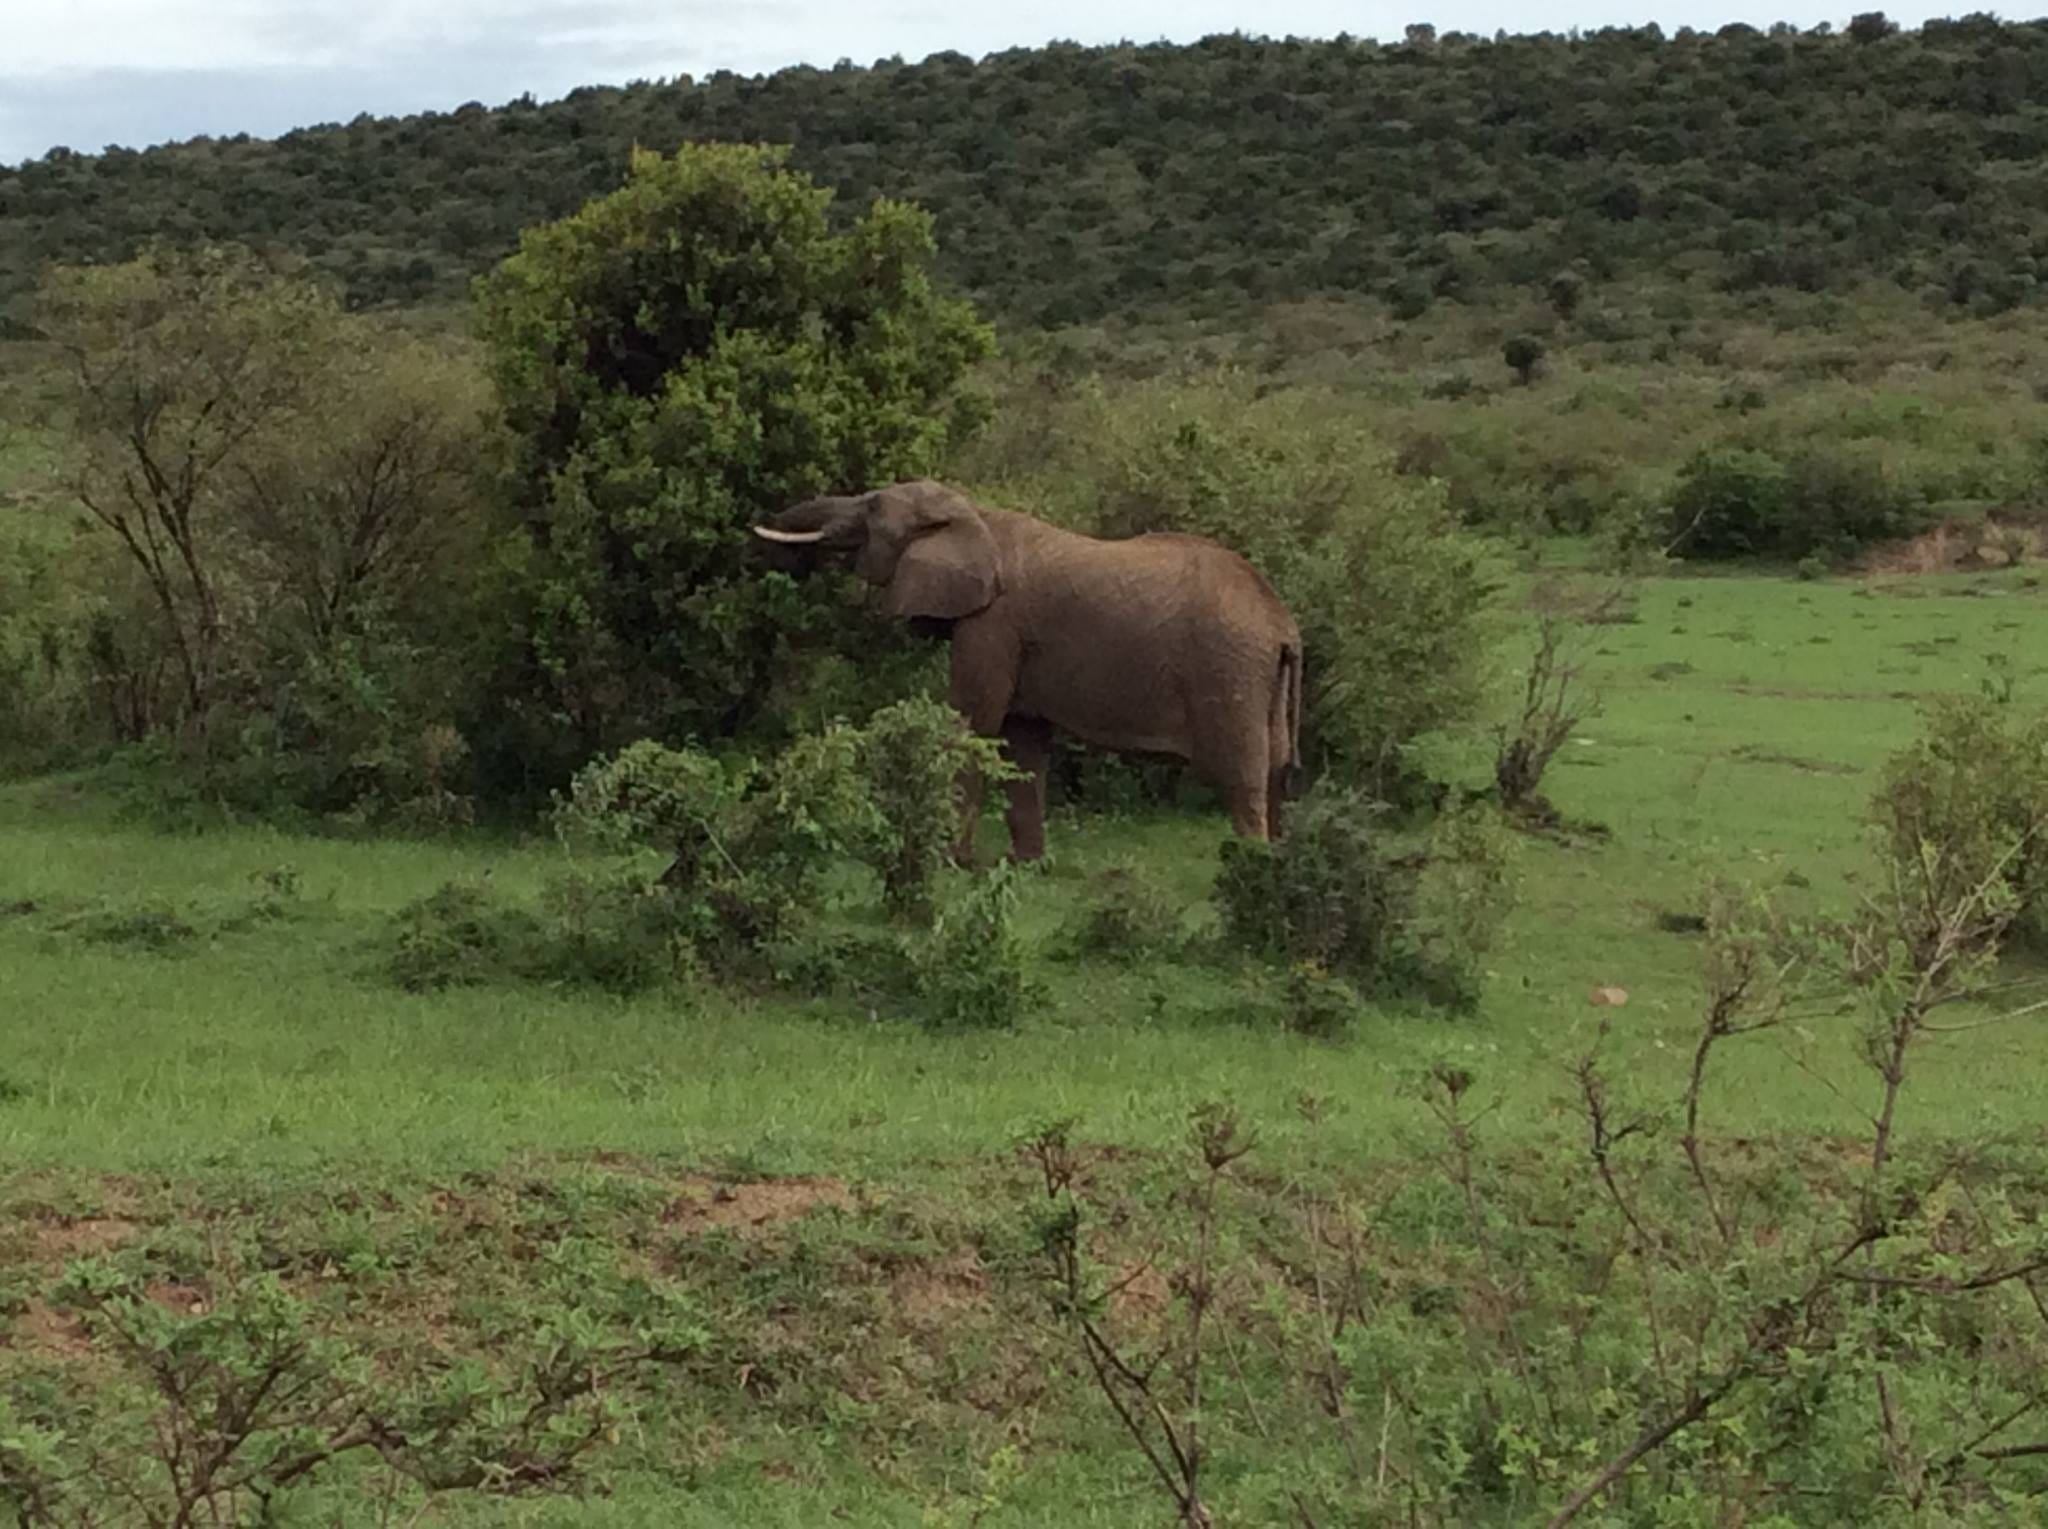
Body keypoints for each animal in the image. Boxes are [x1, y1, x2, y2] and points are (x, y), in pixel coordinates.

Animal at [752, 479, 1302, 863]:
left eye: (870, 507)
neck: (974, 515)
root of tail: (1283, 624)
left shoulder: (994, 624)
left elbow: (976, 724)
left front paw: (949, 862)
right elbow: (1022, 742)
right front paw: (1025, 866)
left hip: (1228, 668)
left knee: (1242, 774)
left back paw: (1246, 866)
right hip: (1262, 679)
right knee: (1276, 768)